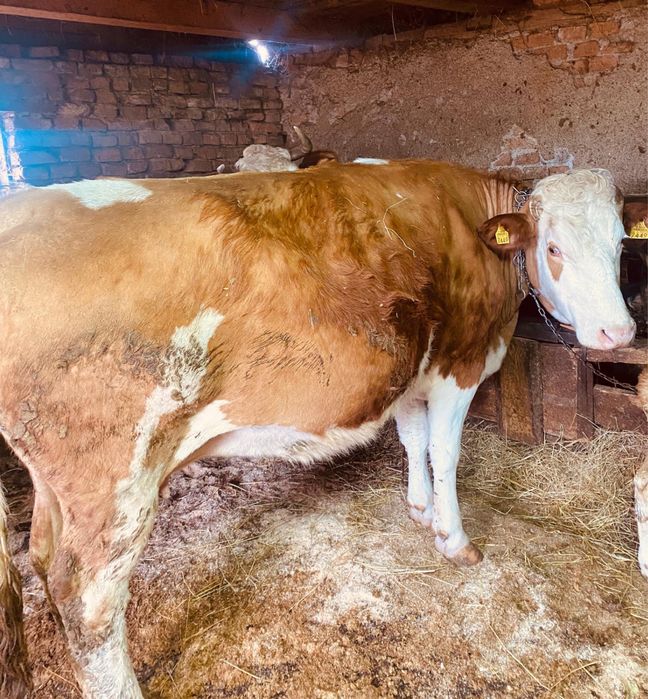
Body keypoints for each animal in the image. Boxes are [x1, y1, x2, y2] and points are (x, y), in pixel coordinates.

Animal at [0, 161, 636, 698]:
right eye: (553, 247)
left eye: (620, 246)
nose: (618, 332)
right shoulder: (461, 360)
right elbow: (444, 449)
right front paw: (453, 538)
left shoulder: (410, 369)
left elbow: (412, 439)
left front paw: (419, 509)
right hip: (116, 478)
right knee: (89, 601)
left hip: (59, 482)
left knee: (42, 556)